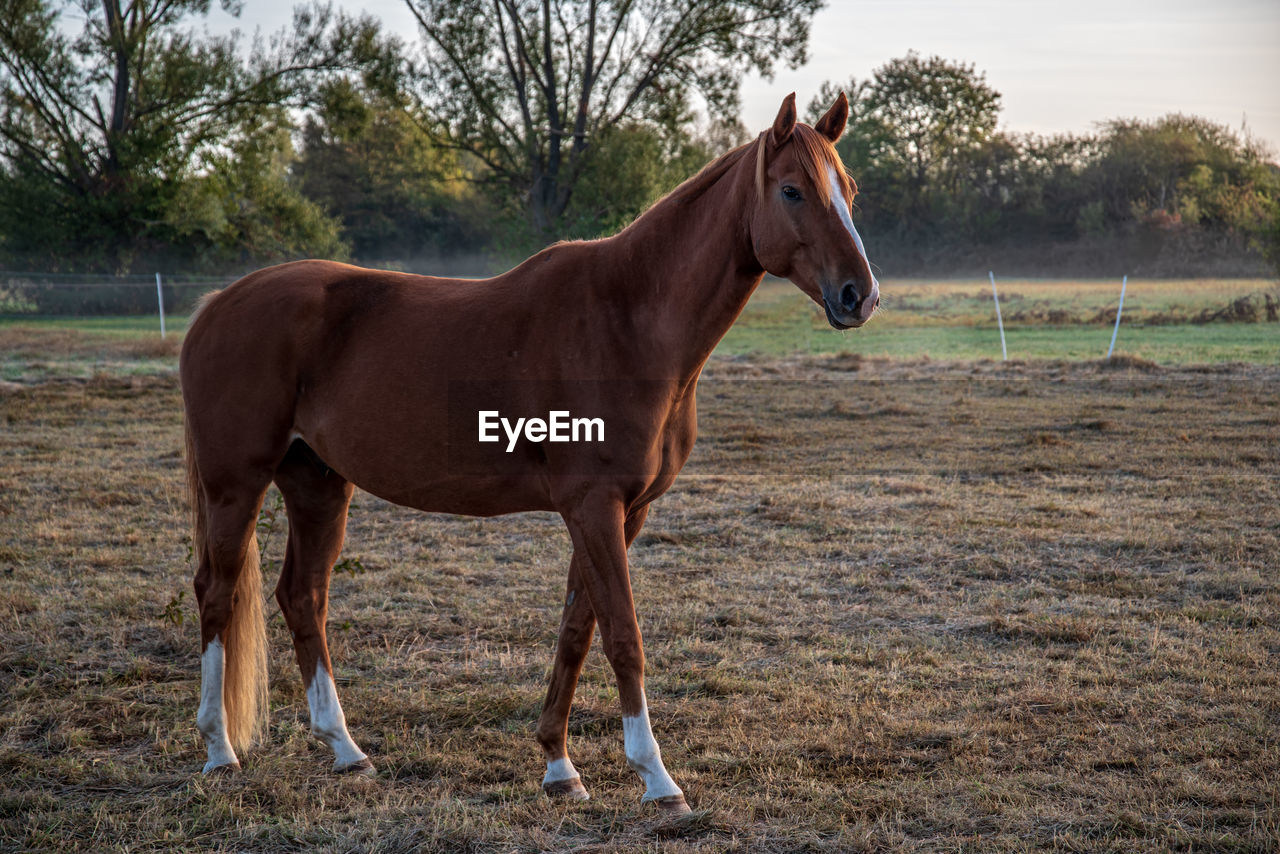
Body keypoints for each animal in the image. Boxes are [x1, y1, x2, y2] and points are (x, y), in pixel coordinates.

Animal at [180, 93, 880, 814]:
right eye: (792, 190)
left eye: (850, 189)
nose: (859, 295)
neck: (626, 320)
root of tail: (218, 305)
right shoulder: (594, 507)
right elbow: (622, 635)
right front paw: (657, 779)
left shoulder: (623, 512)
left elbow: (577, 631)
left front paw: (559, 765)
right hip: (236, 485)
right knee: (217, 592)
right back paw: (220, 751)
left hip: (317, 483)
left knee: (303, 596)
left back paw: (346, 751)